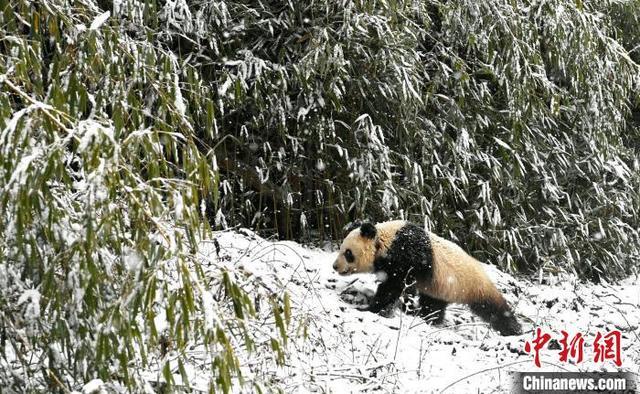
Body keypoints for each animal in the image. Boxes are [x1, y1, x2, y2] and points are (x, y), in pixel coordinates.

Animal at [332, 220, 524, 334]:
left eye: (348, 253)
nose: (335, 266)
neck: (385, 240)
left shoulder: (406, 255)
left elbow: (393, 287)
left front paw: (370, 308)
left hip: (472, 285)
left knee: (494, 308)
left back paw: (513, 330)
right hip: (440, 287)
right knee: (433, 305)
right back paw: (429, 319)